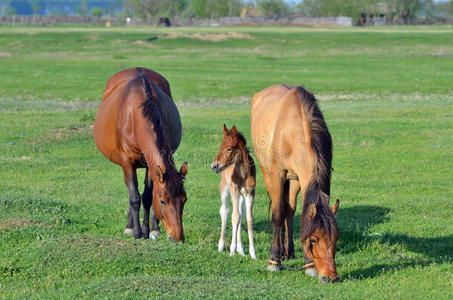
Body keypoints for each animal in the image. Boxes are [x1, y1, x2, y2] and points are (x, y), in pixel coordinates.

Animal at [93, 67, 187, 241]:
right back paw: (129, 227)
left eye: (184, 200)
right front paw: (137, 232)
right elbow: (135, 197)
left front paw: (150, 230)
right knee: (131, 191)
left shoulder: (150, 165)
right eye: (163, 201)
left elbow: (147, 196)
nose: (178, 237)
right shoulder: (126, 162)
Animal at [211, 125, 256, 258]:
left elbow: (248, 219)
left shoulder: (250, 193)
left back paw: (241, 250)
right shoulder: (234, 190)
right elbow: (234, 217)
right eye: (220, 147)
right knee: (225, 212)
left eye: (229, 148)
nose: (214, 166)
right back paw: (221, 246)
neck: (243, 174)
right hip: (225, 190)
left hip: (241, 196)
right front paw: (232, 250)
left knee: (241, 213)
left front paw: (253, 254)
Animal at [251, 84, 340, 284]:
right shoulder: (277, 175)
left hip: (292, 181)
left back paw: (288, 251)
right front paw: (273, 261)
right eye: (313, 240)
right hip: (268, 173)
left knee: (289, 210)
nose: (330, 277)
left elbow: (294, 213)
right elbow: (277, 215)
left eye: (335, 239)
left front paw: (308, 265)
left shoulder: (299, 179)